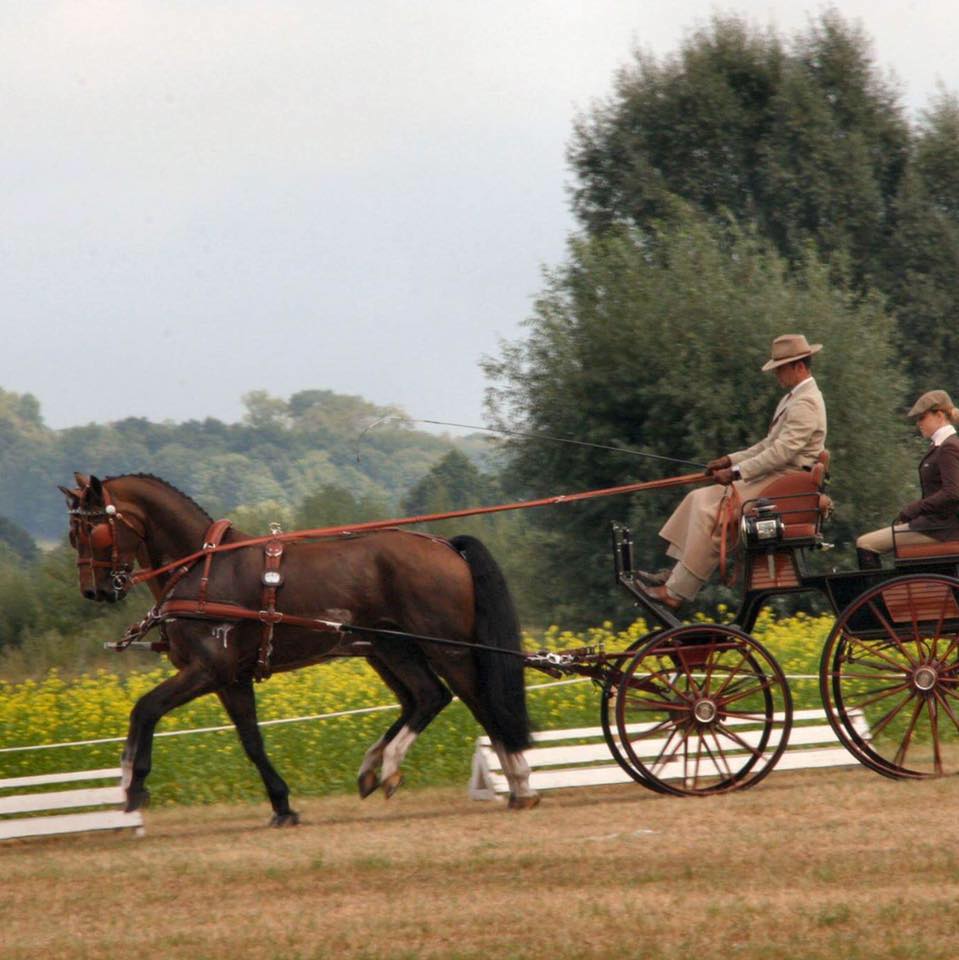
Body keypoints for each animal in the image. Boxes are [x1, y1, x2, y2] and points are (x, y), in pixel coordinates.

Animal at [62, 472, 540, 824]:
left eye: (93, 530)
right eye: (72, 534)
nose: (94, 591)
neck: (202, 569)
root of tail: (445, 547)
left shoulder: (206, 670)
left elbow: (145, 709)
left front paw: (132, 782)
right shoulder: (231, 679)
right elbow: (251, 741)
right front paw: (282, 806)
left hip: (448, 648)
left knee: (478, 702)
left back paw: (517, 783)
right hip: (391, 650)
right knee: (427, 697)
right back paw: (379, 767)